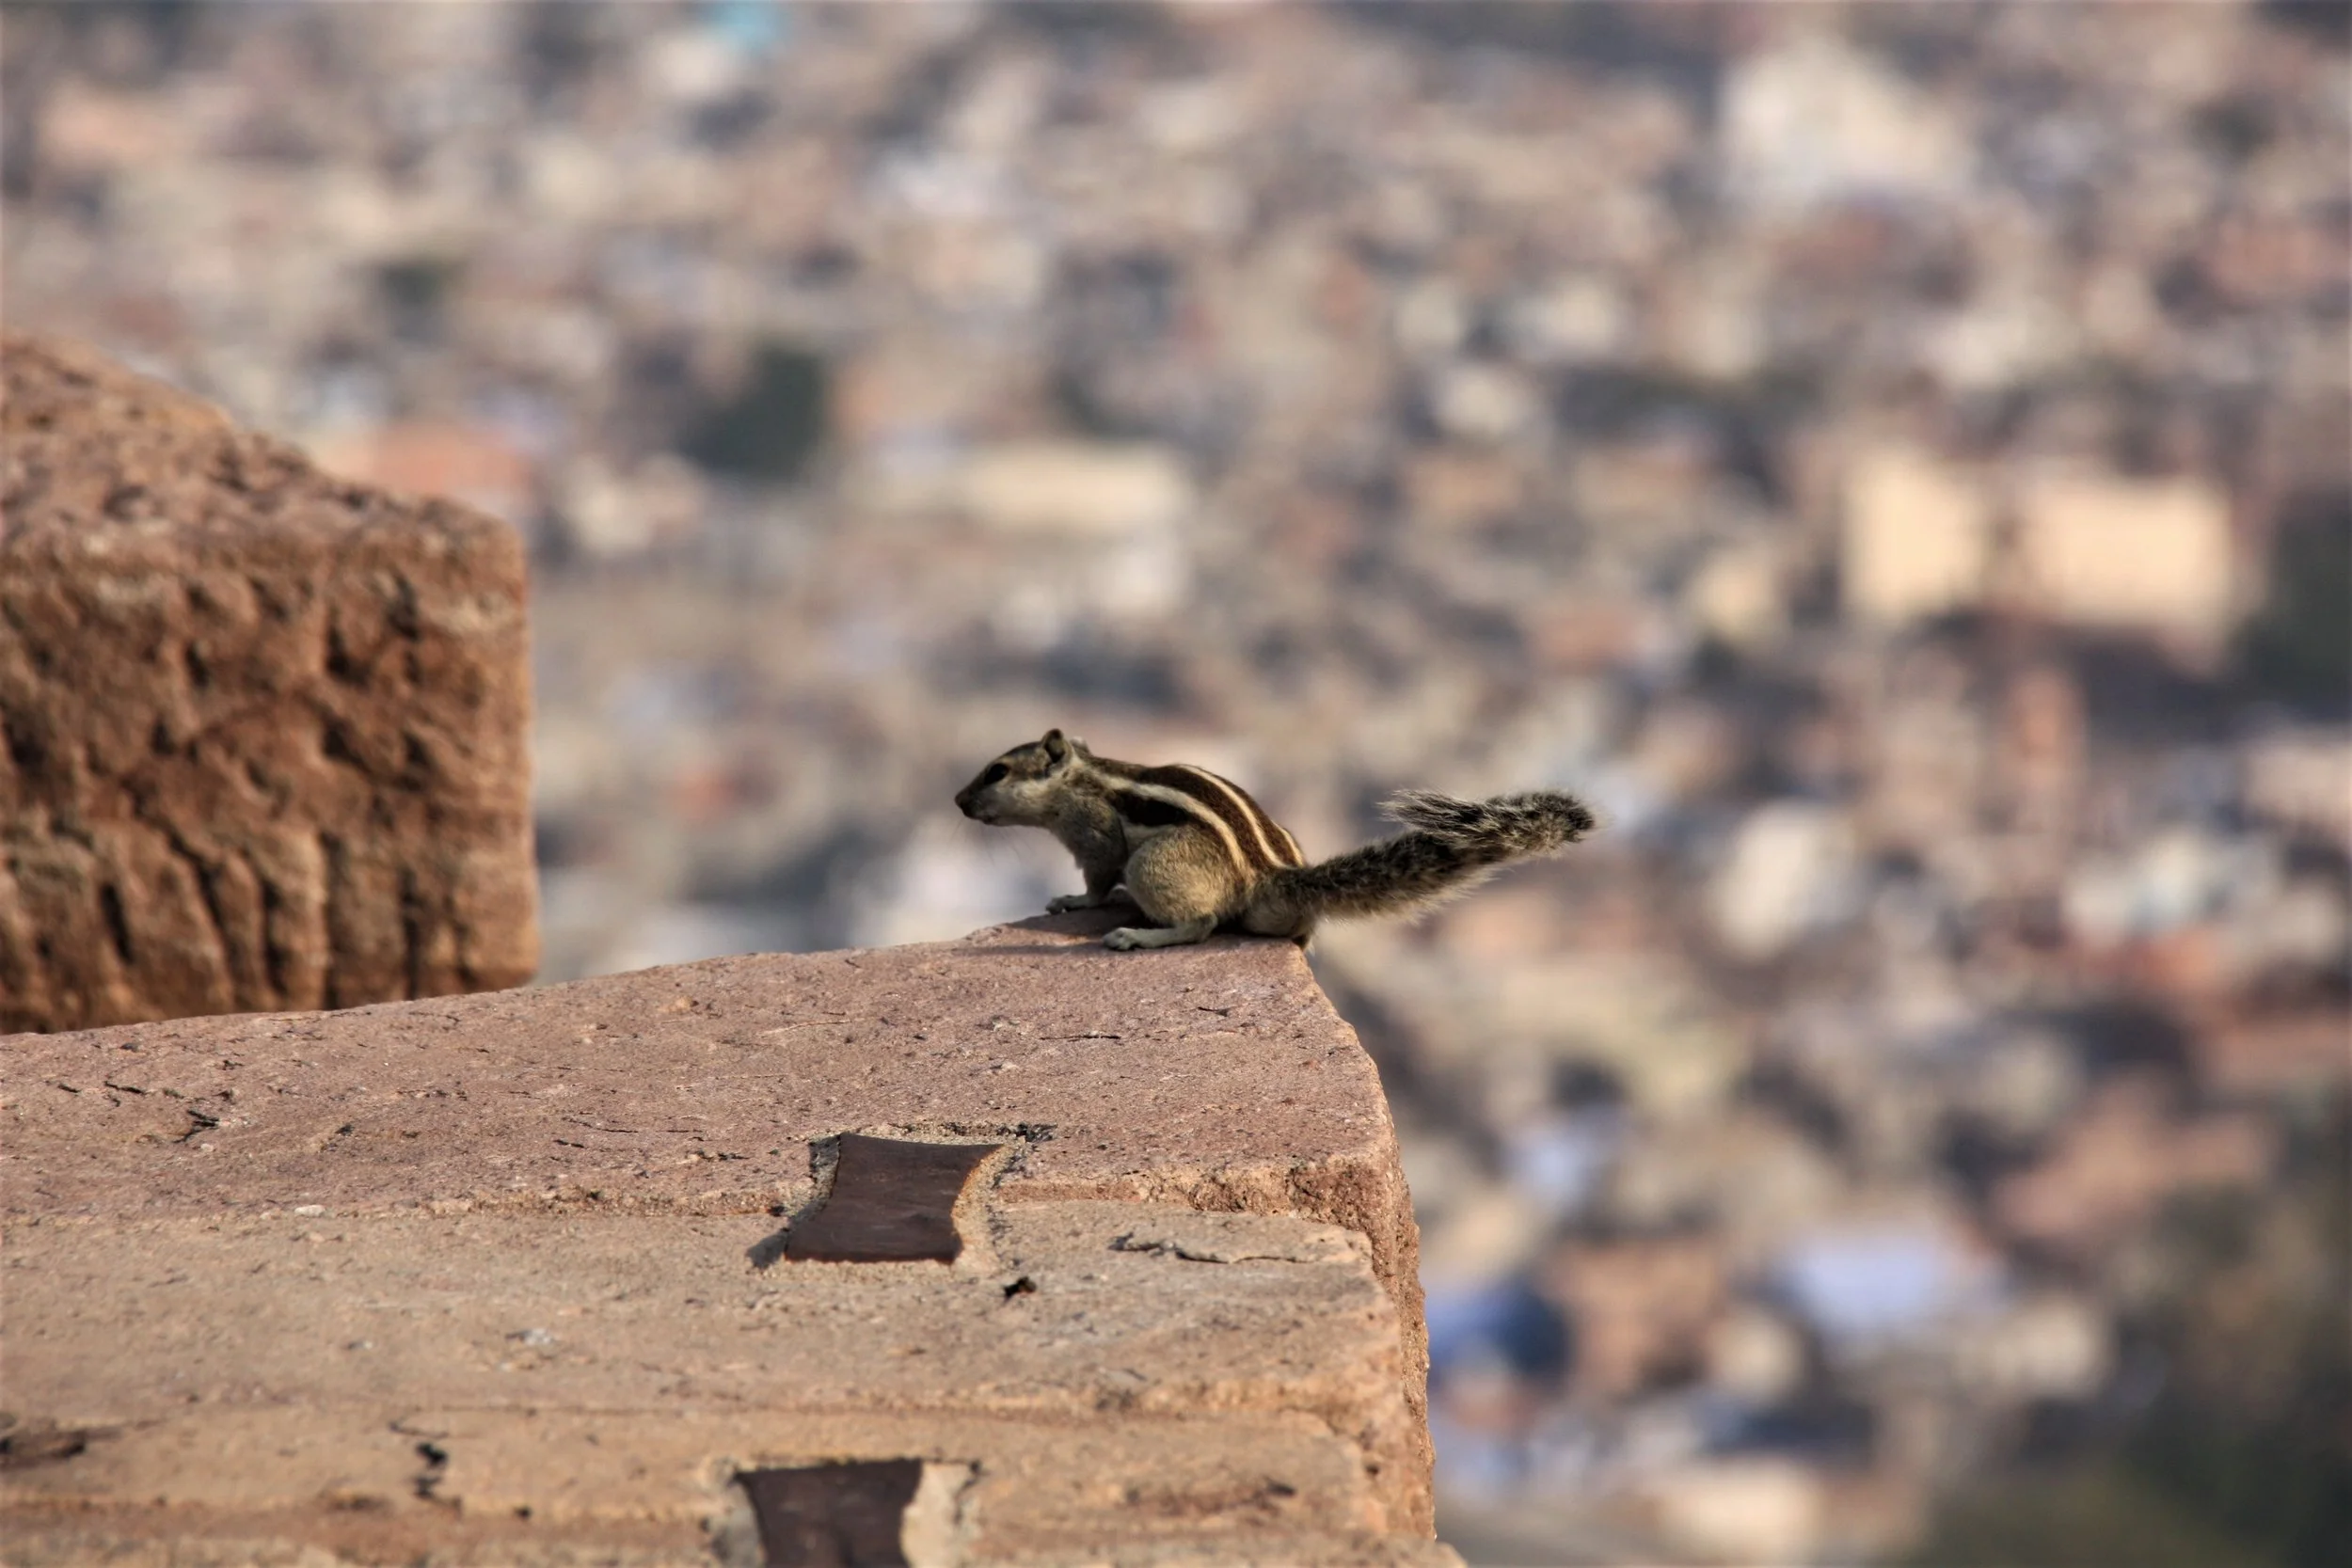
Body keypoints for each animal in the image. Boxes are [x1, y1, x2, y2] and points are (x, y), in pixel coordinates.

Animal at [954, 729, 1594, 949]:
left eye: (997, 772)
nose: (957, 801)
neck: (1083, 777)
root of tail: (1273, 878)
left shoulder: (1096, 835)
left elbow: (1096, 875)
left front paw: (1072, 901)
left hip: (1155, 865)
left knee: (1201, 924)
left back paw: (1137, 935)